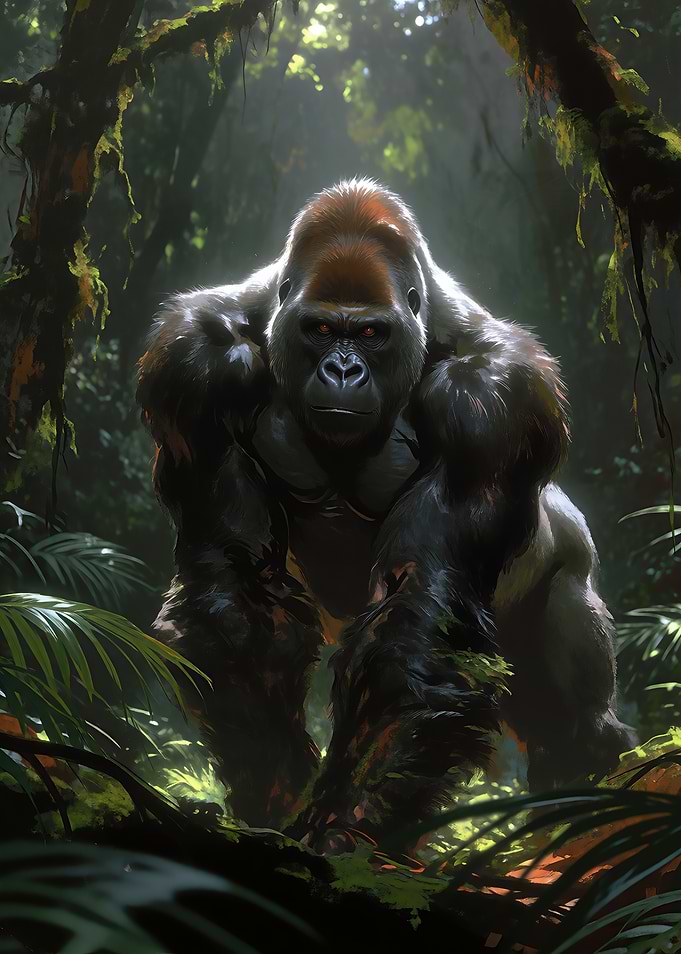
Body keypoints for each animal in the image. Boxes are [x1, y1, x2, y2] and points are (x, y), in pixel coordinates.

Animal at [137, 179, 634, 853]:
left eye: (371, 334)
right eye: (321, 329)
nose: (343, 370)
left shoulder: (495, 398)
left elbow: (419, 615)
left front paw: (346, 829)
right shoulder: (195, 365)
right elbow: (234, 598)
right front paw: (276, 788)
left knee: (566, 670)